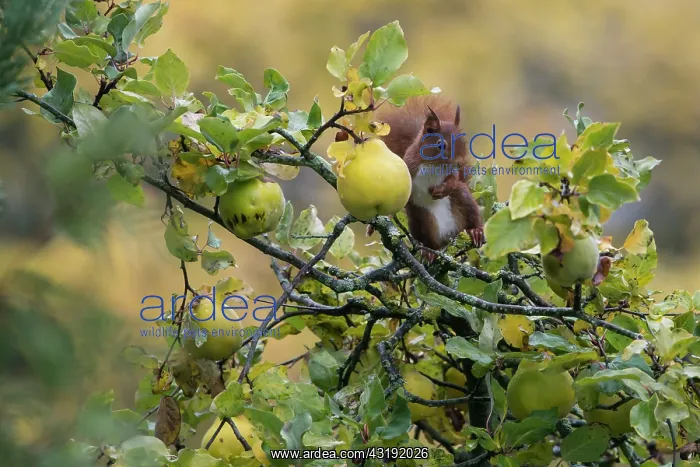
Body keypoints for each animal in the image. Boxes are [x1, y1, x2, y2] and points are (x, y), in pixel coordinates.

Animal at [372, 95, 484, 256]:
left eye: (464, 141)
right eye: (440, 145)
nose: (460, 162)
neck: (434, 165)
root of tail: (449, 238)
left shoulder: (451, 172)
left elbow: (454, 179)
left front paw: (444, 188)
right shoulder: (410, 167)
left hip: (463, 198)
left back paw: (476, 231)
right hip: (423, 218)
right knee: (430, 241)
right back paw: (430, 252)